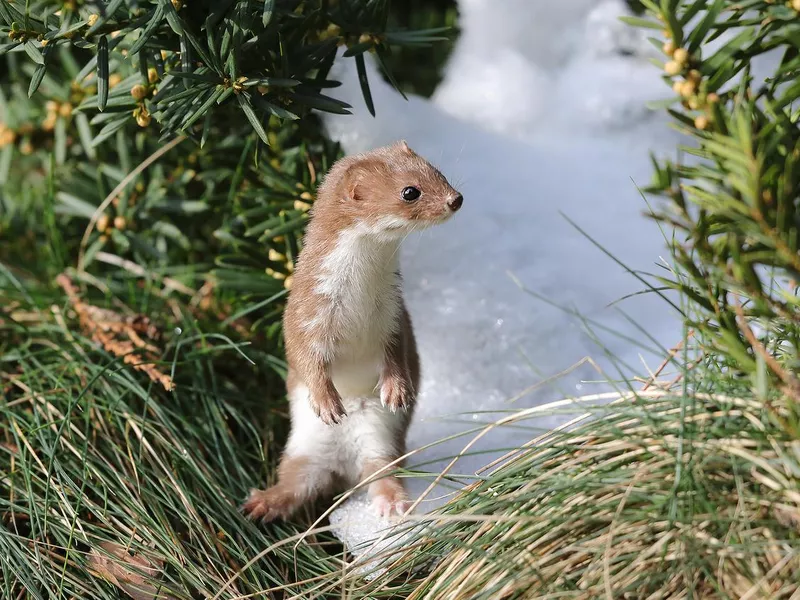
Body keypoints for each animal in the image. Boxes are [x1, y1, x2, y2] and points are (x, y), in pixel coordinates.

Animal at [241, 141, 462, 520]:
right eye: (410, 191)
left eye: (437, 171)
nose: (456, 198)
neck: (360, 298)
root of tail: (342, 465)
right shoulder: (306, 311)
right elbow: (304, 355)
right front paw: (327, 402)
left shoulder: (394, 315)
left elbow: (398, 352)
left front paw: (397, 389)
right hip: (302, 447)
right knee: (294, 484)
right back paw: (262, 502)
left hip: (380, 438)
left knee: (382, 472)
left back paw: (393, 503)